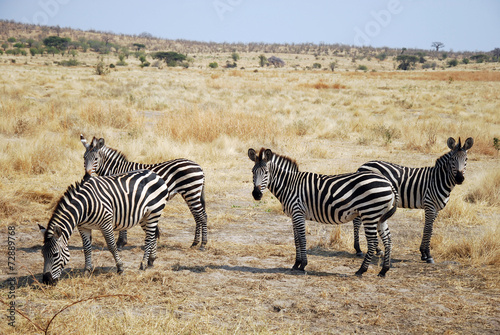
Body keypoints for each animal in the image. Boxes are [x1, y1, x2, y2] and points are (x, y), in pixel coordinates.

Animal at [37, 171, 170, 286]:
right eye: (42, 254)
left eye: (55, 254)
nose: (46, 281)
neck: (84, 206)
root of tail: (155, 174)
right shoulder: (83, 227)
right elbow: (87, 249)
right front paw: (87, 270)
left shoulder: (106, 224)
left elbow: (112, 246)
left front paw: (120, 268)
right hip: (144, 216)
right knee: (152, 235)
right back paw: (151, 260)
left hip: (154, 212)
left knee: (148, 238)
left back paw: (143, 265)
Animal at [249, 149, 398, 278]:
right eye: (252, 171)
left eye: (266, 172)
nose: (256, 194)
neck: (289, 185)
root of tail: (388, 183)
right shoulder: (294, 215)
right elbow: (296, 240)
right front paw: (296, 264)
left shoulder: (298, 212)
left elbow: (302, 239)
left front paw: (303, 265)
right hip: (380, 216)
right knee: (388, 239)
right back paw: (384, 270)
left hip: (370, 214)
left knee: (373, 242)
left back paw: (361, 270)